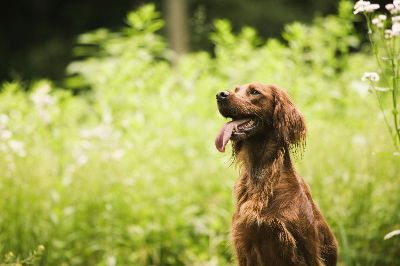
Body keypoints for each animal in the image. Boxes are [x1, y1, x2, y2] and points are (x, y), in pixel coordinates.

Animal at [216, 82, 338, 264]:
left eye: (254, 92)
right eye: (236, 90)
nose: (220, 95)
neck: (261, 177)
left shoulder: (306, 250)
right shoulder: (244, 245)